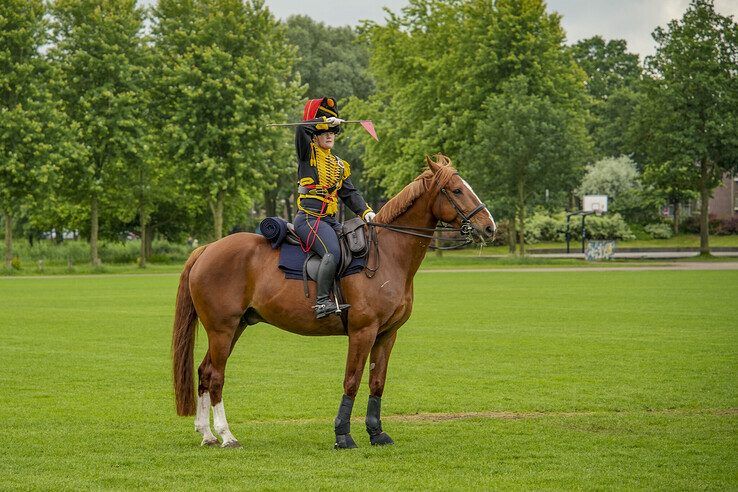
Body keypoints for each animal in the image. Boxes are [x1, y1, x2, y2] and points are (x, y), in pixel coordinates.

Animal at [172, 155, 494, 450]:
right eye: (456, 190)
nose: (489, 228)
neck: (388, 255)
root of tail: (207, 248)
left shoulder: (387, 335)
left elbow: (377, 382)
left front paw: (376, 433)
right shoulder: (363, 332)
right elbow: (351, 380)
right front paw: (343, 435)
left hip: (235, 327)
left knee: (204, 372)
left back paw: (207, 434)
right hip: (222, 329)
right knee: (216, 376)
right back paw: (226, 435)